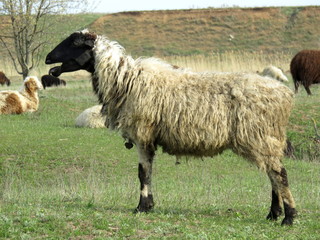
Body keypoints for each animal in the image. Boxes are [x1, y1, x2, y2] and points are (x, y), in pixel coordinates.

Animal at [45, 30, 298, 225]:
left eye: (74, 43)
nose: (47, 59)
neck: (125, 80)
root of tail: (284, 95)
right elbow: (146, 171)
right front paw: (149, 204)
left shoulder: (143, 132)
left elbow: (143, 172)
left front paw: (141, 207)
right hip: (265, 138)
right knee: (273, 173)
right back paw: (273, 214)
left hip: (258, 135)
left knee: (280, 174)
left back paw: (289, 217)